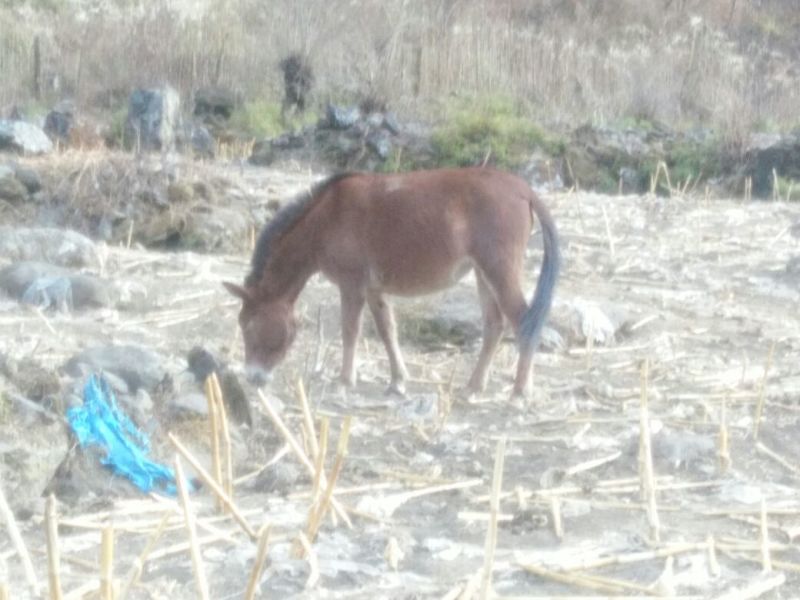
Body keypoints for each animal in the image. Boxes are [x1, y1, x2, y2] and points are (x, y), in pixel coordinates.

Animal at [224, 167, 560, 397]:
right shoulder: (374, 289)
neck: (327, 217)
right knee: (494, 325)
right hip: (482, 274)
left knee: (523, 321)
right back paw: (474, 386)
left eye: (249, 326)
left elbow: (350, 331)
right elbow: (387, 331)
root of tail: (523, 189)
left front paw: (345, 381)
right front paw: (398, 381)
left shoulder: (352, 285)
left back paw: (520, 390)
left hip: (498, 270)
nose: (253, 377)